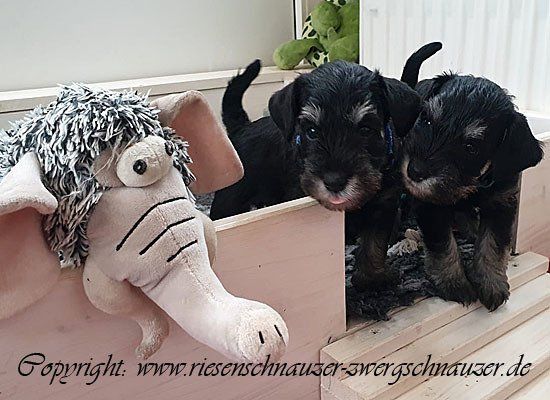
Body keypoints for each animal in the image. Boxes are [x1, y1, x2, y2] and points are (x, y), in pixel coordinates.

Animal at [210, 42, 442, 292]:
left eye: (366, 129)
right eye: (311, 131)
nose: (334, 181)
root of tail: (241, 128)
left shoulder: (383, 207)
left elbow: (374, 246)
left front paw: (374, 280)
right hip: (229, 200)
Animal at [401, 73, 544, 310]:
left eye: (470, 147)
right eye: (427, 119)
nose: (414, 171)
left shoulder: (501, 204)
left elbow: (492, 243)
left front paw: (491, 282)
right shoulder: (431, 206)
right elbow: (443, 243)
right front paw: (454, 282)